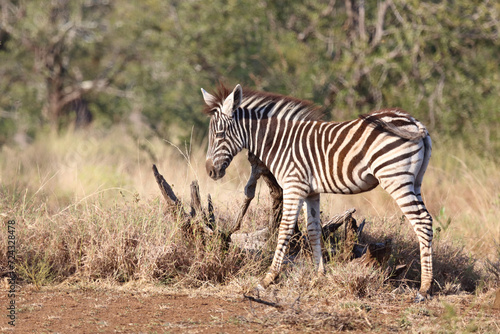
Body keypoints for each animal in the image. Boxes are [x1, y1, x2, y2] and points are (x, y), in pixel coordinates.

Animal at [201, 83, 432, 300]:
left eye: (219, 134)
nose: (210, 171)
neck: (280, 142)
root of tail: (414, 120)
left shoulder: (293, 186)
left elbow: (285, 230)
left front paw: (268, 279)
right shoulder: (310, 192)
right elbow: (313, 230)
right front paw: (319, 275)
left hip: (395, 177)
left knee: (421, 222)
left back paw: (424, 289)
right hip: (415, 181)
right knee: (427, 220)